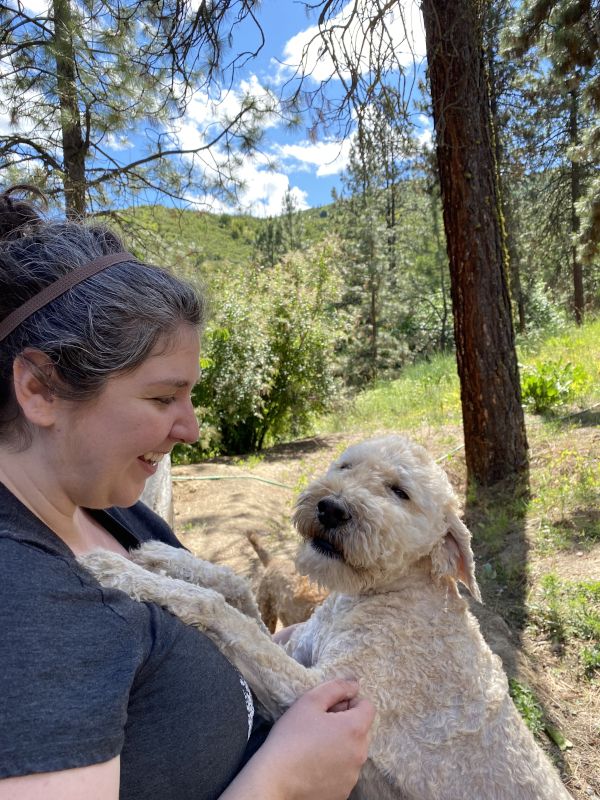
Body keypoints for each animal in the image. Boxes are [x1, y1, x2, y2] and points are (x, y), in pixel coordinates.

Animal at [81, 438, 572, 800]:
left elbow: (218, 610)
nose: (332, 509)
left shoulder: (315, 689)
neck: (376, 594)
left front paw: (119, 571)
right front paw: (159, 557)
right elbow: (233, 588)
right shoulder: (292, 645)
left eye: (400, 492)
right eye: (345, 466)